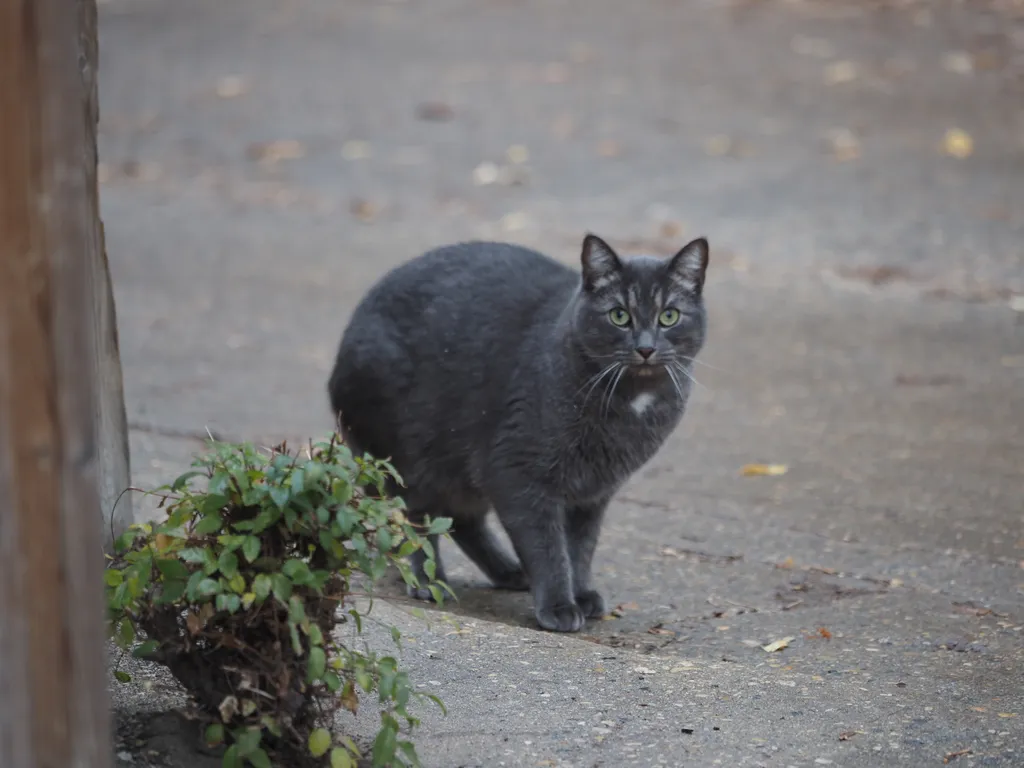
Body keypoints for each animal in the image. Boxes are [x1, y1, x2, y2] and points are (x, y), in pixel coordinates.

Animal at [327, 234, 704, 630]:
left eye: (669, 316)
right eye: (619, 315)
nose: (645, 347)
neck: (630, 401)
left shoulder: (592, 495)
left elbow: (580, 548)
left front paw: (581, 593)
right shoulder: (515, 473)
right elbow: (546, 546)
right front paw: (559, 604)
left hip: (458, 471)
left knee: (462, 519)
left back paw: (509, 571)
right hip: (407, 459)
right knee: (417, 519)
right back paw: (427, 580)